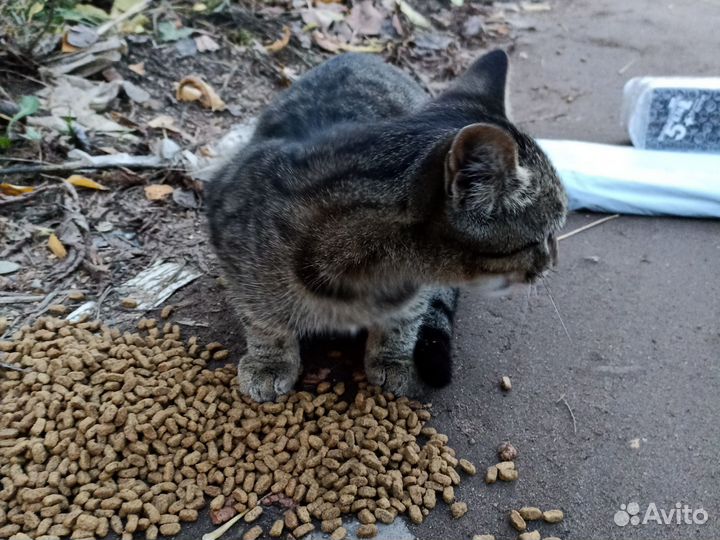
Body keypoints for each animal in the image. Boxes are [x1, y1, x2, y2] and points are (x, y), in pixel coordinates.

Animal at [207, 50, 568, 402]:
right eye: (545, 236)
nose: (554, 262)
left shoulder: (417, 293)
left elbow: (403, 321)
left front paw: (392, 359)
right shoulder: (228, 228)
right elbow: (261, 318)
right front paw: (269, 362)